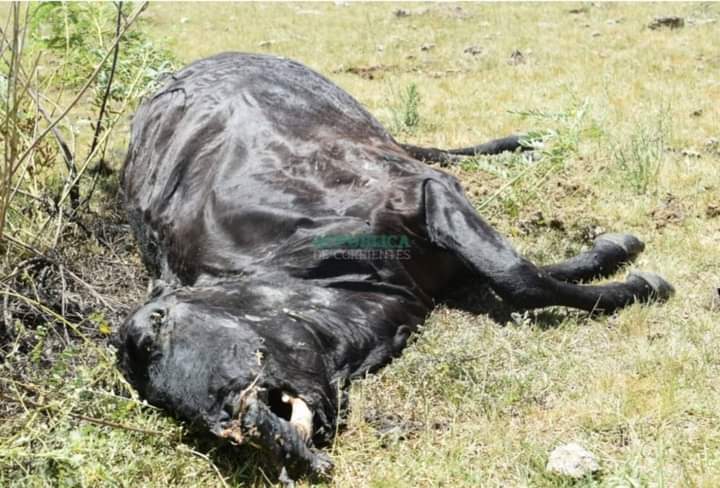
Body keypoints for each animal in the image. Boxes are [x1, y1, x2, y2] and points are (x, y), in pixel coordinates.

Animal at [117, 53, 673, 481]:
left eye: (157, 327)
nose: (232, 422)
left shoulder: (425, 192)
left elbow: (518, 277)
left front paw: (642, 278)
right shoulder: (441, 263)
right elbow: (523, 275)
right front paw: (619, 260)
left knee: (439, 150)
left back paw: (527, 139)